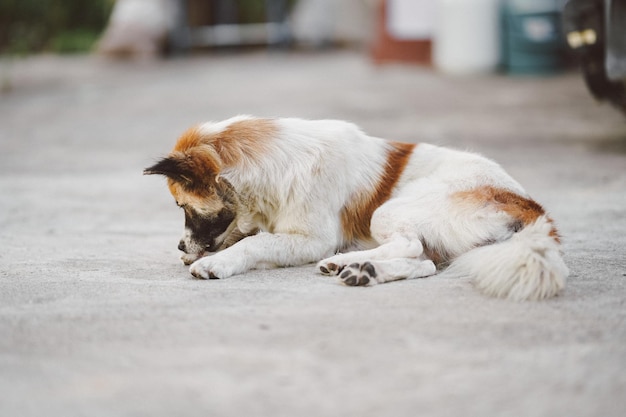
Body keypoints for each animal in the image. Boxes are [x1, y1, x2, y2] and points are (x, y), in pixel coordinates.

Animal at [145, 115, 564, 300]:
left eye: (182, 205)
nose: (180, 246)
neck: (272, 165)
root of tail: (531, 206)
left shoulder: (312, 239)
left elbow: (256, 242)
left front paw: (215, 263)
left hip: (390, 210)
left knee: (412, 246)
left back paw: (348, 262)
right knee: (425, 262)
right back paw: (363, 271)